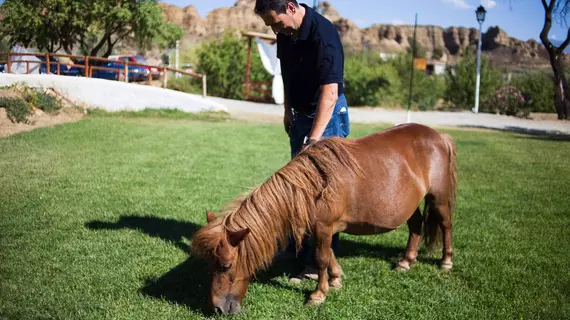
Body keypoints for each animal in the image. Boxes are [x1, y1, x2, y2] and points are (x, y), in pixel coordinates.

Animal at [191, 122, 458, 316]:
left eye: (226, 266)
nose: (217, 309)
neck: (311, 186)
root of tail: (438, 135)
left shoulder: (324, 227)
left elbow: (321, 258)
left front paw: (318, 295)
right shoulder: (321, 229)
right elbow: (329, 255)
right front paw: (336, 279)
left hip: (438, 197)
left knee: (446, 225)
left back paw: (446, 262)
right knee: (415, 226)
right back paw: (406, 261)